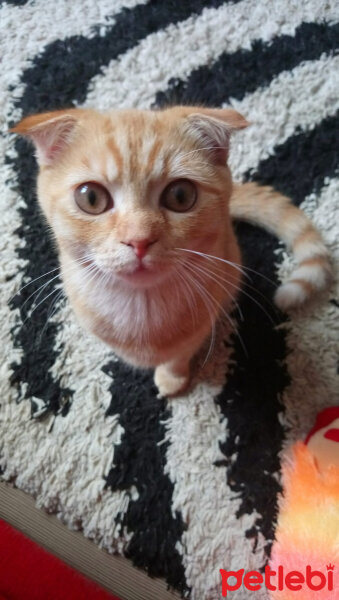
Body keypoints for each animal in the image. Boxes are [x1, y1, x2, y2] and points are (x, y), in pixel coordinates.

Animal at [11, 106, 334, 398]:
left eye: (180, 195)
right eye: (91, 197)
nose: (139, 240)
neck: (141, 307)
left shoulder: (199, 327)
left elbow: (179, 356)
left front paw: (172, 378)